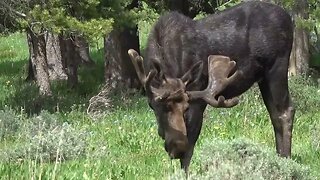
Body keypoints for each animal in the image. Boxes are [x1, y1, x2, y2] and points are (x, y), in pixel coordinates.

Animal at [127, 1, 296, 173]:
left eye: (186, 108)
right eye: (155, 106)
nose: (177, 148)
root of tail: (289, 19)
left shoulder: (198, 99)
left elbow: (189, 149)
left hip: (276, 68)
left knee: (284, 112)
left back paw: (286, 162)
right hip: (263, 79)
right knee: (275, 114)